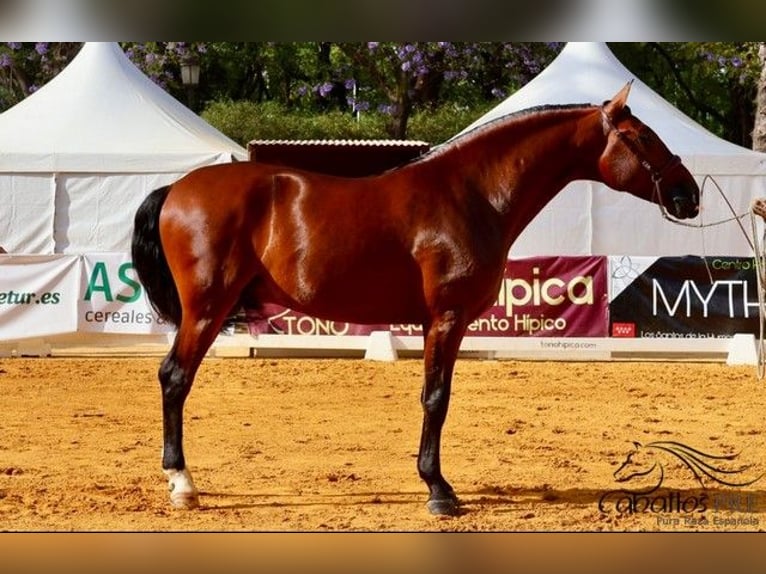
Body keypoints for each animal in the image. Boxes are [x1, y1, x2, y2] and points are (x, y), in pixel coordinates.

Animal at [131, 82, 699, 516]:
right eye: (643, 137)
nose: (688, 195)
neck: (471, 194)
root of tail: (176, 189)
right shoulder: (447, 318)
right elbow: (436, 399)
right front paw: (439, 491)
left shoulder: (438, 322)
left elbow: (434, 396)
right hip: (206, 310)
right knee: (174, 378)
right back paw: (182, 484)